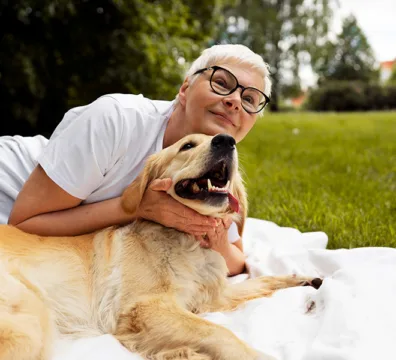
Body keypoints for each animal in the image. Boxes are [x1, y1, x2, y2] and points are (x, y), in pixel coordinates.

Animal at [0, 134, 322, 358]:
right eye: (187, 145)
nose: (226, 140)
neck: (187, 241)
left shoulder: (211, 296)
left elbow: (261, 281)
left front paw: (304, 278)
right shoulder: (147, 308)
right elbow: (223, 335)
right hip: (30, 322)